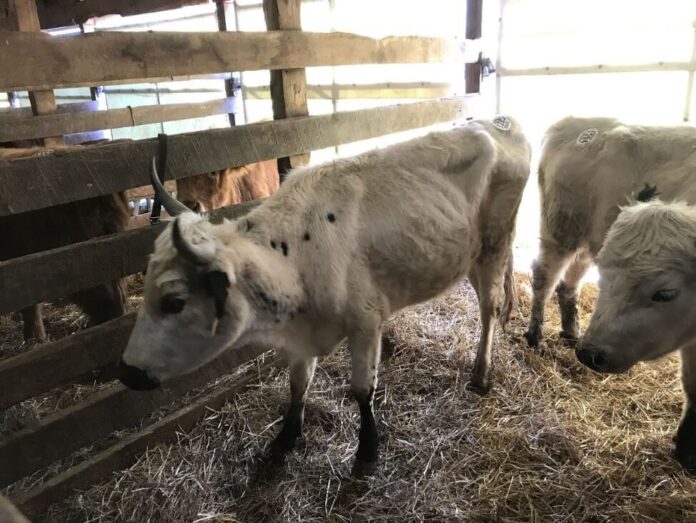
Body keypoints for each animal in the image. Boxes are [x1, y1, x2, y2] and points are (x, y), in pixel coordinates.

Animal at [117, 117, 531, 475]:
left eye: (174, 302)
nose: (126, 371)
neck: (297, 252)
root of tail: (500, 123)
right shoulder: (302, 334)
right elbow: (298, 384)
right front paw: (285, 438)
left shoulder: (366, 322)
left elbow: (362, 390)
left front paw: (367, 451)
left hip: (495, 245)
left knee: (489, 308)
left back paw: (481, 372)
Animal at [524, 117, 696, 349]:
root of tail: (569, 122)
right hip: (562, 230)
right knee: (545, 275)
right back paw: (536, 337)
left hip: (590, 239)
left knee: (569, 282)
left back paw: (571, 332)